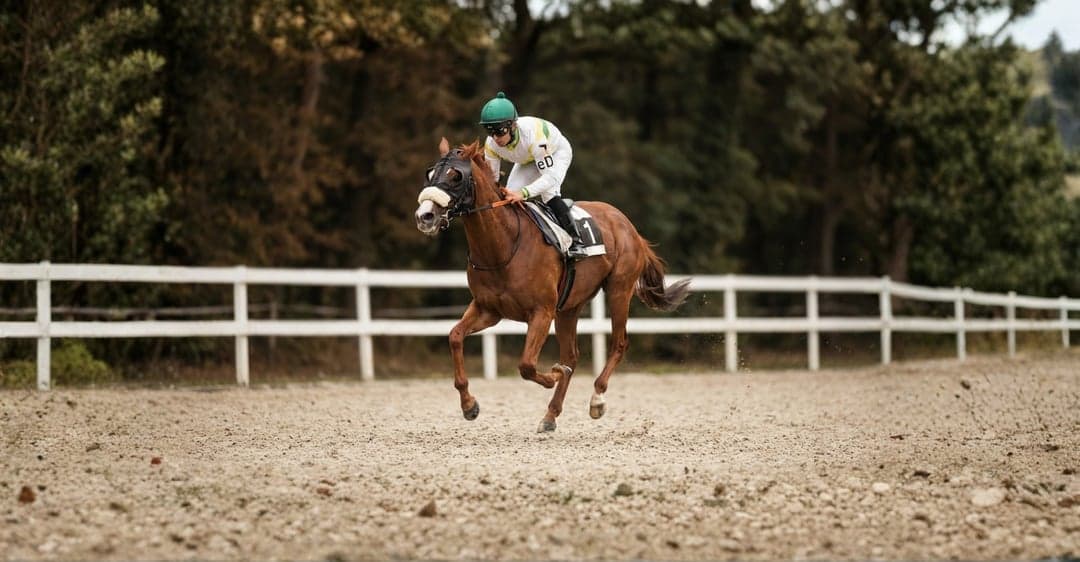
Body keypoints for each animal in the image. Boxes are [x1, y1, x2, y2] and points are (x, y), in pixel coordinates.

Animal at [414, 138, 690, 432]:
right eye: (429, 174)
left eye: (455, 176)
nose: (425, 216)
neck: (503, 245)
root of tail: (629, 227)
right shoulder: (488, 310)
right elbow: (455, 336)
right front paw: (469, 405)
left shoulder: (542, 312)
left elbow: (526, 364)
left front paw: (554, 374)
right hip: (569, 307)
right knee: (572, 355)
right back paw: (550, 414)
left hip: (619, 290)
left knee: (618, 343)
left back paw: (596, 398)